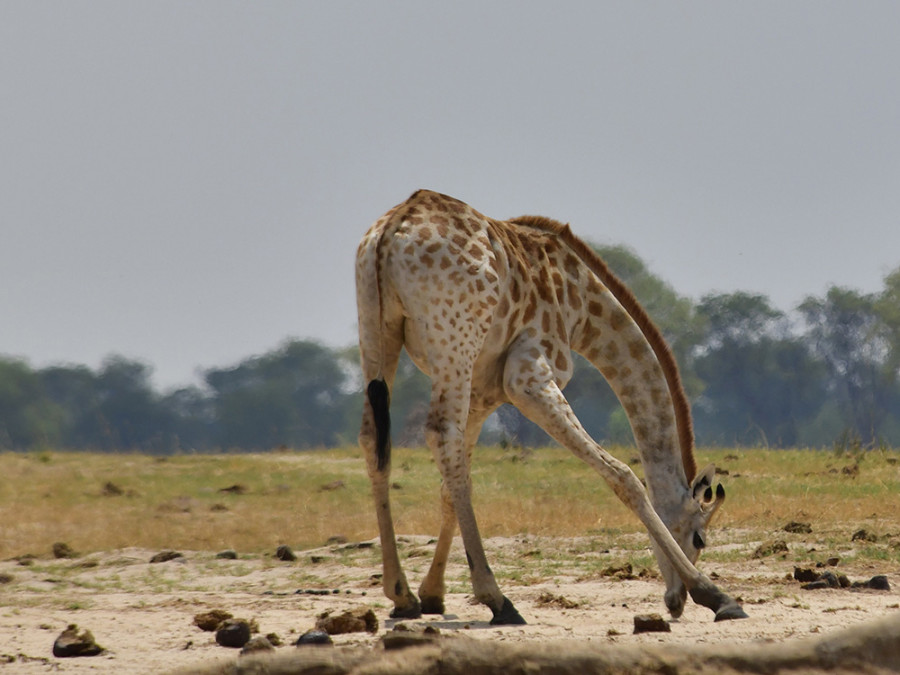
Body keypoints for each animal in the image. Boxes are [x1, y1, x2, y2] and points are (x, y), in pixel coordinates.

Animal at [356, 189, 748, 624]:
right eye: (699, 537)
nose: (674, 602)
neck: (584, 310)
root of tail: (392, 230)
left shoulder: (484, 389)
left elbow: (449, 486)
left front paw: (432, 595)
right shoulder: (526, 378)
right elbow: (624, 476)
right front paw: (717, 595)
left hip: (379, 331)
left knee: (374, 438)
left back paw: (402, 595)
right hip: (452, 341)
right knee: (437, 432)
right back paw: (499, 600)